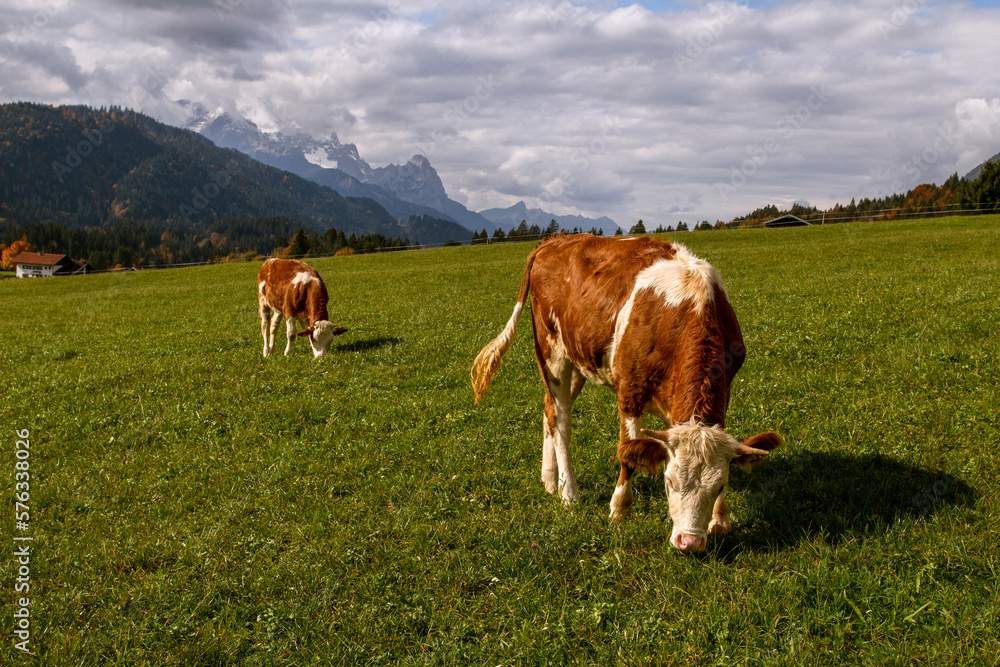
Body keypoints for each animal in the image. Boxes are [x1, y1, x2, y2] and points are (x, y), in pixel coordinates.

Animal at [472, 234, 784, 552]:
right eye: (670, 482)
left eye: (721, 485)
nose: (690, 542)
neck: (692, 306)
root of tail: (553, 240)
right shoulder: (630, 390)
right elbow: (627, 453)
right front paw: (619, 510)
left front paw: (720, 519)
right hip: (552, 352)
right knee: (561, 420)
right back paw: (568, 492)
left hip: (577, 357)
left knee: (549, 410)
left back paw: (549, 480)